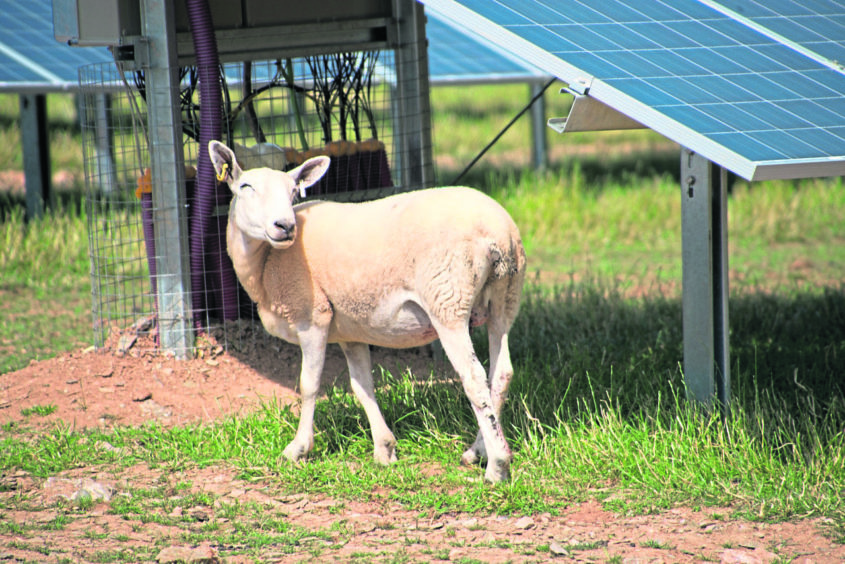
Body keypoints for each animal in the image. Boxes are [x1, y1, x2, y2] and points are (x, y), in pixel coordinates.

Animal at [209, 140, 528, 480]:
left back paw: (497, 466)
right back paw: (478, 451)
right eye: (245, 186)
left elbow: (309, 385)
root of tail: (497, 232)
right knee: (500, 373)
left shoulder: (313, 316)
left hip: (448, 299)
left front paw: (298, 449)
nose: (285, 225)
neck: (264, 262)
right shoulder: (350, 330)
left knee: (474, 378)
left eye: (294, 191)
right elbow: (362, 386)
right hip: (505, 299)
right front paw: (384, 449)